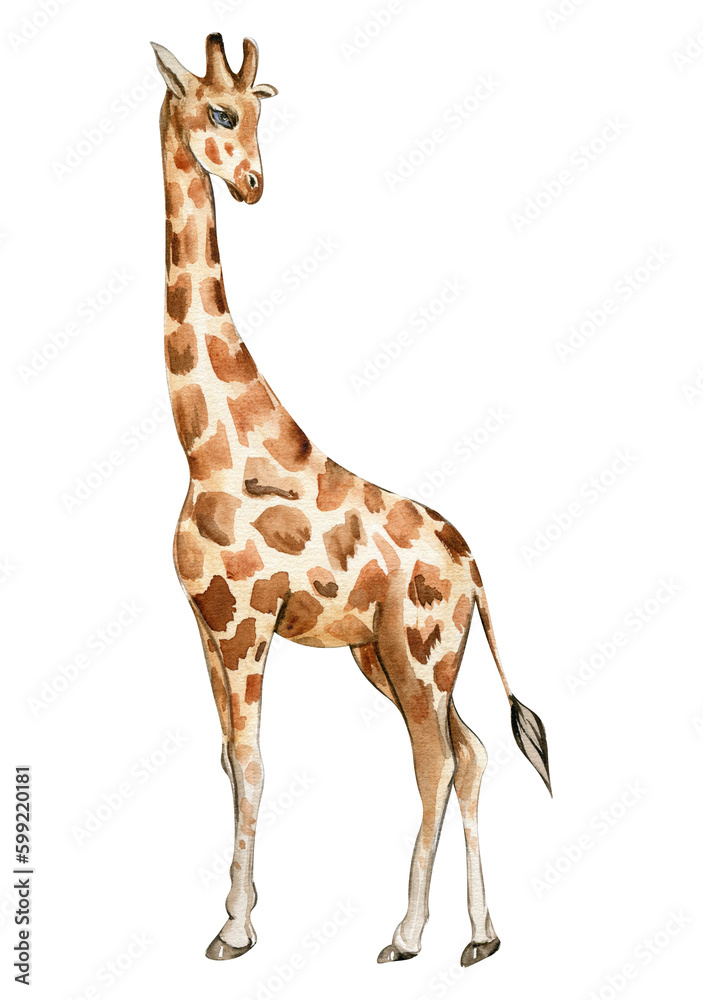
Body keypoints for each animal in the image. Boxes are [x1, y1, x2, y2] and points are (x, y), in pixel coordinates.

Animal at [153, 33, 551, 966]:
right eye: (218, 111)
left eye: (257, 115)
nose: (251, 183)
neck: (206, 448)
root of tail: (475, 570)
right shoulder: (204, 621)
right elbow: (226, 758)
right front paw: (235, 913)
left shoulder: (246, 620)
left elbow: (253, 762)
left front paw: (234, 929)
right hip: (394, 656)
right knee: (473, 751)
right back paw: (480, 938)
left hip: (415, 651)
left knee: (436, 760)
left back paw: (404, 935)